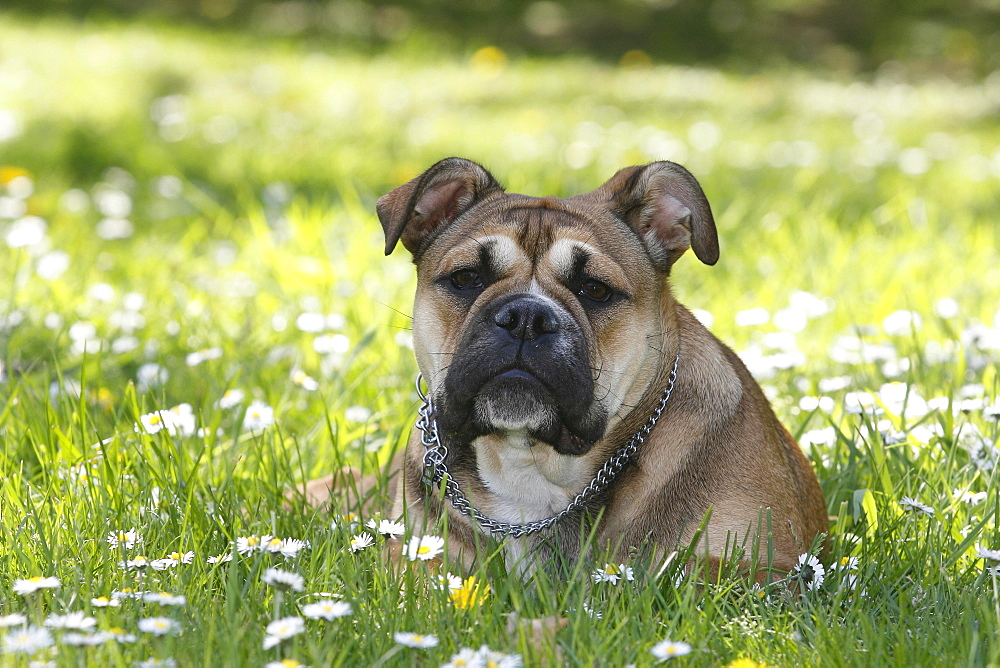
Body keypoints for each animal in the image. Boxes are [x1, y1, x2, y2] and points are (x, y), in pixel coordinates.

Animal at [300, 158, 824, 580]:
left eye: (595, 290)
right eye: (467, 278)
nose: (526, 316)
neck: (532, 463)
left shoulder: (766, 571)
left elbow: (669, 575)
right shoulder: (418, 553)